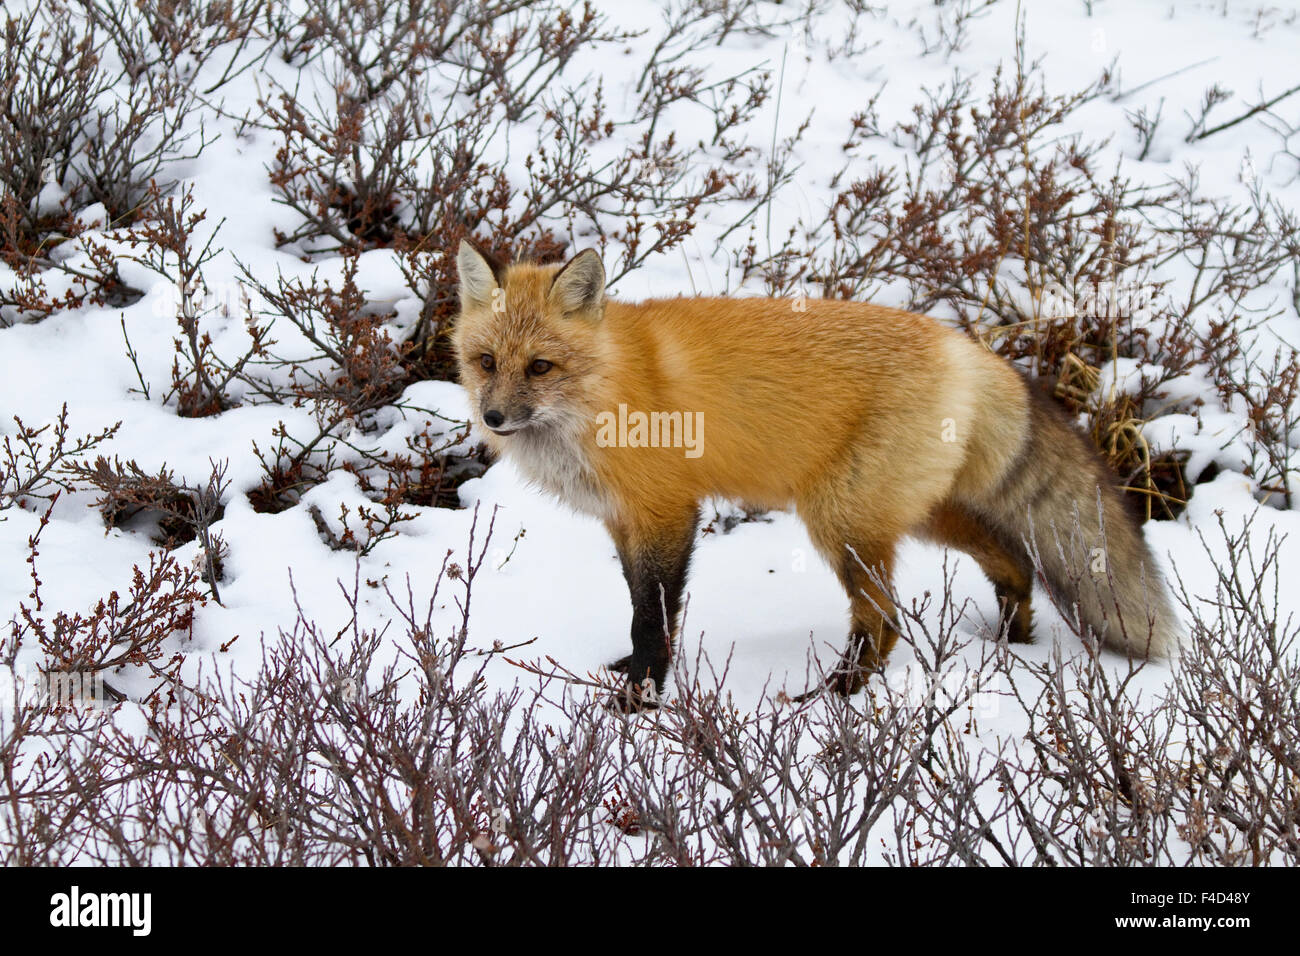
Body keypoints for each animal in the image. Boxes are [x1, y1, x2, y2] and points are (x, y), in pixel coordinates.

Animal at [452, 243, 1185, 707]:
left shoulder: (667, 512)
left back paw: (837, 698)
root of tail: (970, 348)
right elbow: (640, 607)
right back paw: (1011, 640)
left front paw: (640, 699)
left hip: (841, 521)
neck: (601, 393)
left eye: (540, 367)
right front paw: (633, 676)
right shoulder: (624, 521)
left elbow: (652, 617)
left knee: (885, 622)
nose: (493, 418)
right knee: (1011, 559)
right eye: (486, 361)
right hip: (916, 513)